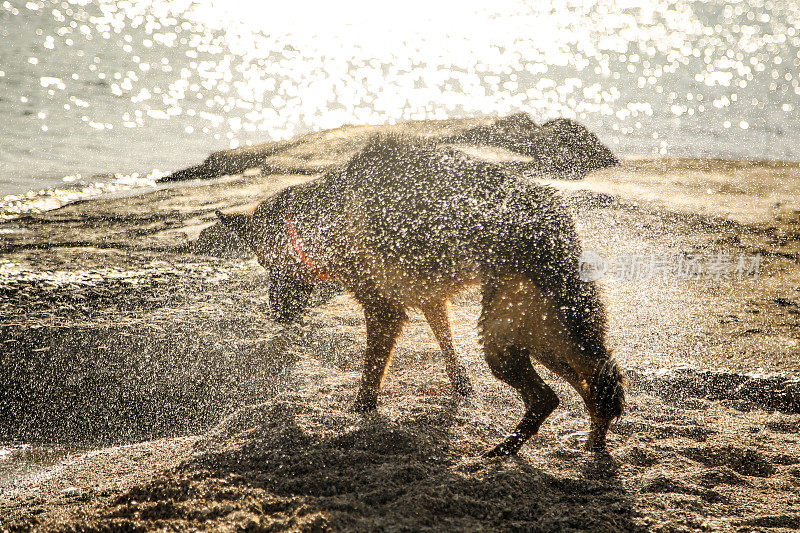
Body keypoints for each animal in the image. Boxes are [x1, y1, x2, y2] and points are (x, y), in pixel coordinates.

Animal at [219, 134, 624, 454]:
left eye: (264, 261)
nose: (276, 312)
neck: (321, 220)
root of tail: (558, 214)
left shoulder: (383, 310)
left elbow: (371, 374)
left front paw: (360, 410)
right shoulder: (431, 301)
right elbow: (448, 350)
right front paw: (461, 389)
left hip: (505, 333)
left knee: (551, 395)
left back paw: (508, 448)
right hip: (537, 329)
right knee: (594, 381)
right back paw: (590, 443)